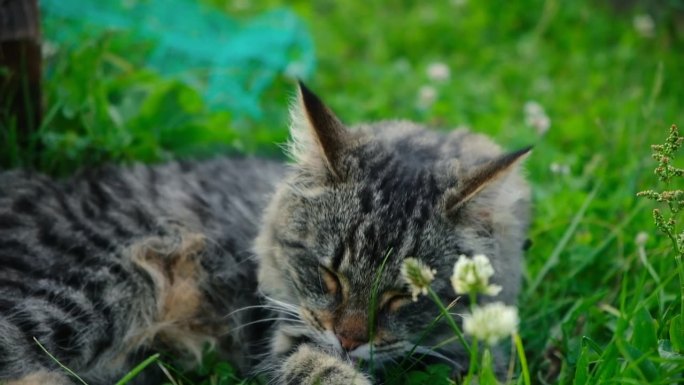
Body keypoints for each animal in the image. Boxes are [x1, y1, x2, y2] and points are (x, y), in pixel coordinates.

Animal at [0, 82, 532, 382]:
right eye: (328, 275)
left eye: (404, 296)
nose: (349, 341)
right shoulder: (288, 335)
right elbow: (321, 371)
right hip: (92, 287)